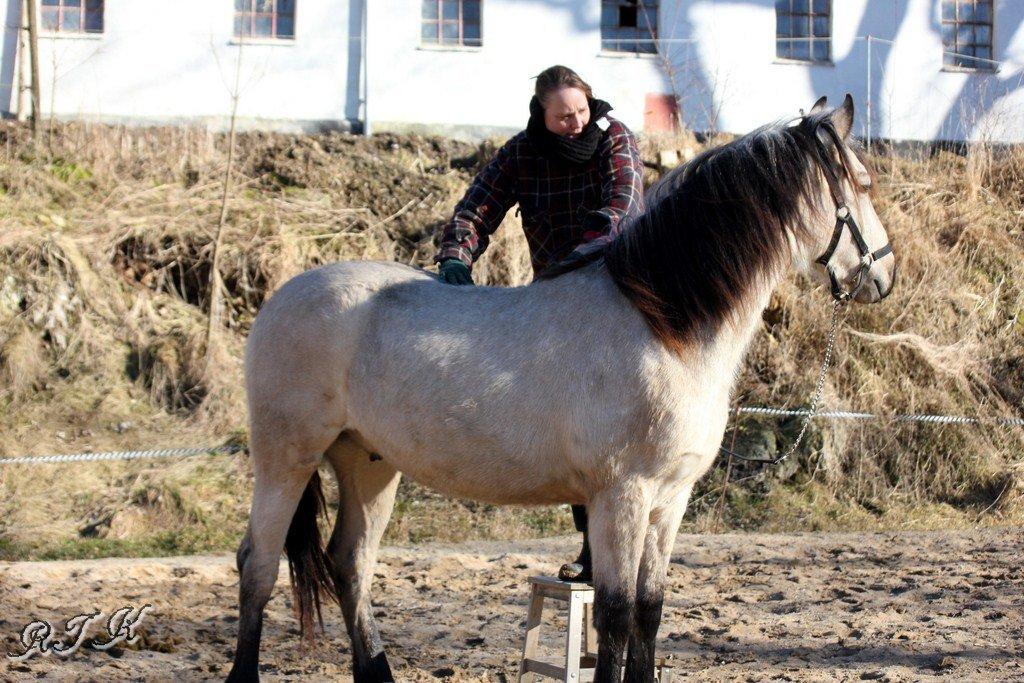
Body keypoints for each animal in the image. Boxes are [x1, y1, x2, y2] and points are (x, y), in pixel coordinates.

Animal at [226, 96, 897, 683]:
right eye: (862, 184)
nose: (885, 276)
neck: (661, 326)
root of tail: (282, 298)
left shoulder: (670, 500)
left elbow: (650, 610)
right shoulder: (621, 496)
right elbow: (616, 615)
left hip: (367, 463)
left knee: (350, 566)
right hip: (287, 457)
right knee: (257, 565)